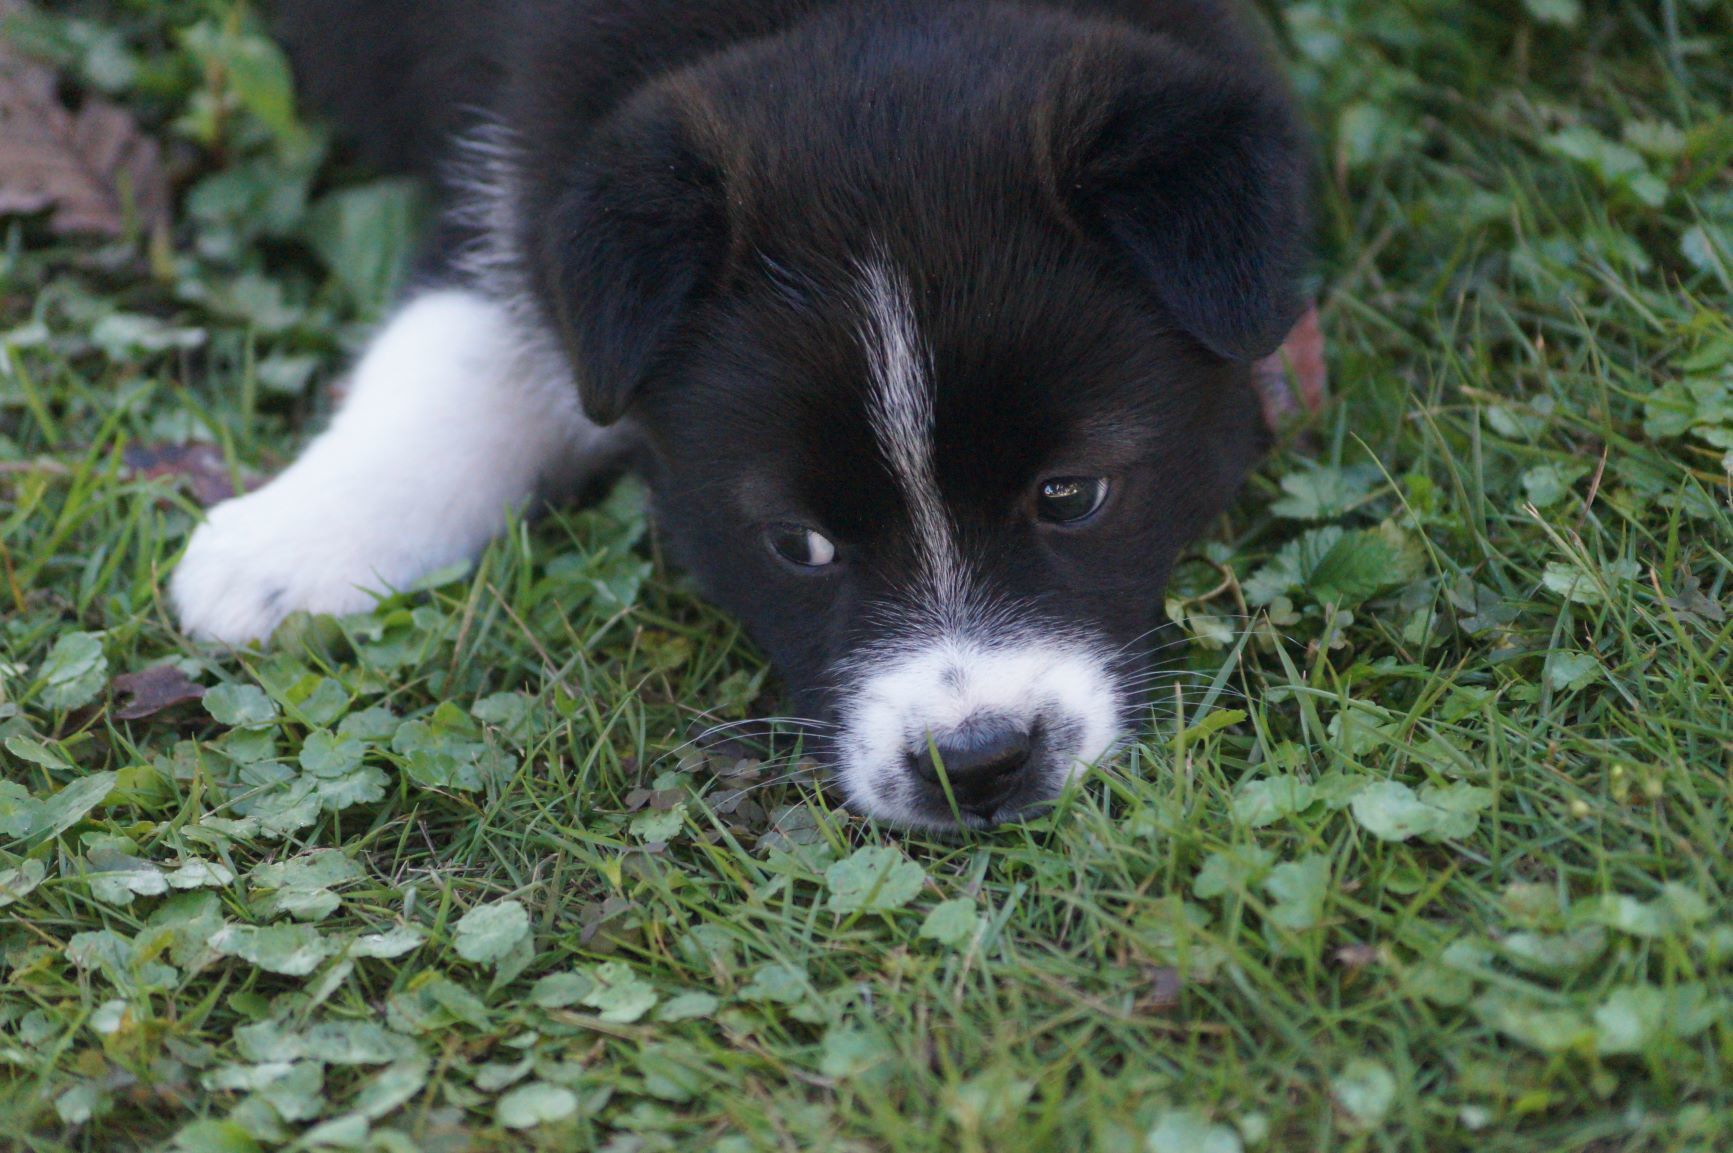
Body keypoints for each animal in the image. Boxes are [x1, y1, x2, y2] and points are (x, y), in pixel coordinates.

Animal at [179, 0, 1310, 828]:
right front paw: (286, 547)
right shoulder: (518, 157)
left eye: (1071, 495)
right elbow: (462, 332)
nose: (976, 762)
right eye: (794, 544)